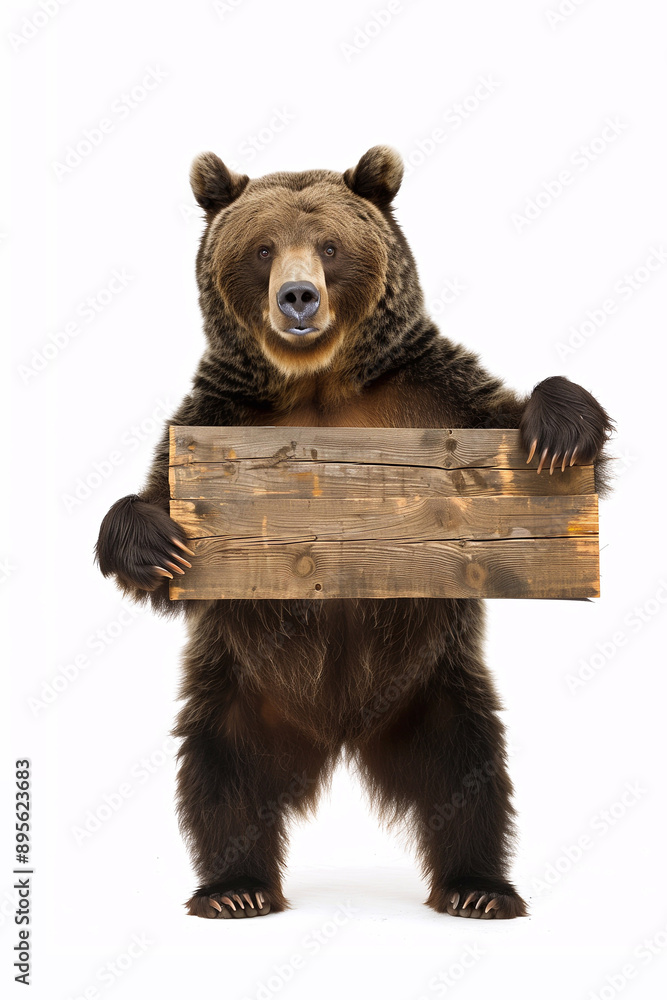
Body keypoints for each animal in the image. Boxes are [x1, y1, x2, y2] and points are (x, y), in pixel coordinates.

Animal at [96, 146, 612, 920]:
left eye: (330, 247)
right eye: (262, 248)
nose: (297, 297)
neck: (317, 384)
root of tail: (340, 735)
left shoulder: (430, 392)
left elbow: (524, 433)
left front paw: (559, 426)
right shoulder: (216, 419)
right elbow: (163, 528)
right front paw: (153, 540)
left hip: (435, 682)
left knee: (470, 773)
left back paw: (478, 887)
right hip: (242, 687)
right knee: (219, 775)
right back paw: (234, 888)